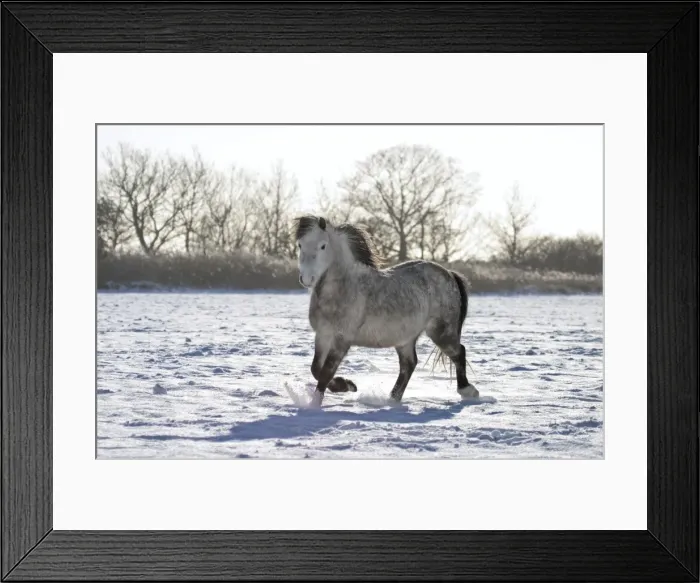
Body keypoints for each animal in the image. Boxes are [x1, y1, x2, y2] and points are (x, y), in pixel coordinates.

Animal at [293, 214, 479, 407]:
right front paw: (347, 385)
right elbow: (316, 368)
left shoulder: (342, 338)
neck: (343, 289)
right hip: (405, 338)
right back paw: (392, 399)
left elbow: (326, 371)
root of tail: (449, 274)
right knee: (409, 364)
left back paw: (467, 390)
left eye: (323, 246)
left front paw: (317, 403)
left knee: (458, 352)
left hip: (440, 331)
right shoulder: (323, 335)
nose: (306, 278)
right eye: (300, 244)